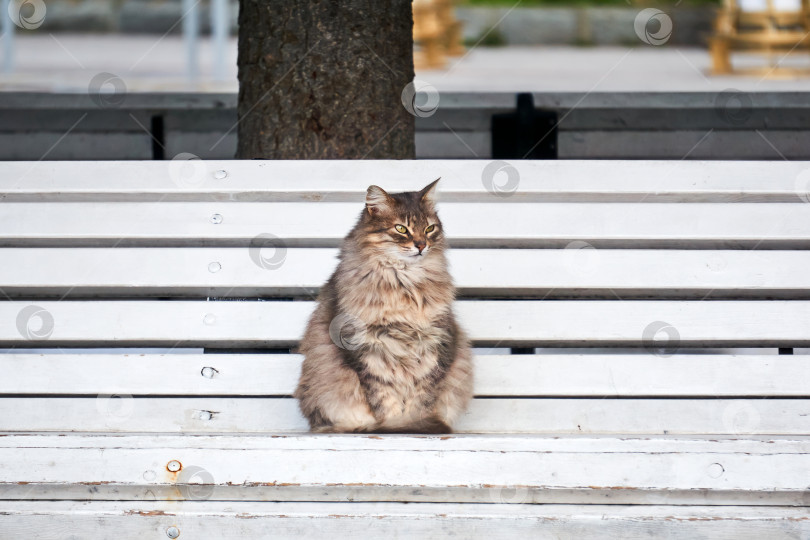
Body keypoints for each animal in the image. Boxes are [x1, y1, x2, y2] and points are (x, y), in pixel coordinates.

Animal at [296, 179, 474, 432]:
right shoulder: (365, 348)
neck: (405, 284)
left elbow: (422, 396)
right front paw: (394, 425)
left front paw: (412, 424)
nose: (421, 245)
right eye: (401, 229)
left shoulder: (436, 342)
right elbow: (383, 398)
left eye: (429, 229)